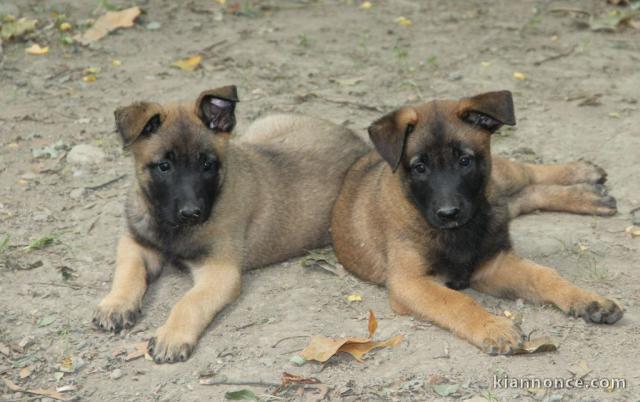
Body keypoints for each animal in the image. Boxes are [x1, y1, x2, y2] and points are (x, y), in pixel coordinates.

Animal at [92, 86, 368, 362]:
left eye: (207, 164)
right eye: (164, 166)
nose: (192, 213)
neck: (173, 230)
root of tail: (357, 141)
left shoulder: (220, 271)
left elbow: (189, 302)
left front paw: (171, 336)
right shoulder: (135, 242)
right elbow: (128, 272)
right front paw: (116, 303)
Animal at [332, 91, 624, 354]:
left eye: (465, 160)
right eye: (419, 167)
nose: (449, 213)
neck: (460, 232)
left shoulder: (494, 264)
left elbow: (545, 275)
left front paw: (587, 299)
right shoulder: (410, 283)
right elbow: (458, 301)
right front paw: (493, 327)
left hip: (502, 175)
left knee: (529, 172)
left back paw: (584, 175)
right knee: (529, 193)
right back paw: (591, 195)